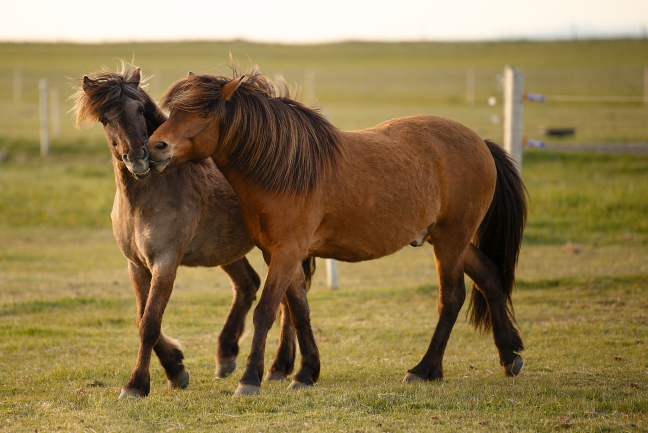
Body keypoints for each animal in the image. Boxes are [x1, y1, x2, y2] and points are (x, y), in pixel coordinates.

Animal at [71, 64, 312, 398]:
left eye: (139, 108)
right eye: (105, 119)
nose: (139, 158)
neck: (147, 195)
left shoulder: (165, 263)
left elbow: (150, 323)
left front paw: (136, 384)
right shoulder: (137, 266)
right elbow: (142, 319)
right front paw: (175, 367)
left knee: (288, 300)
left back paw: (280, 367)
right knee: (252, 286)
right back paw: (228, 355)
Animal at [148, 67, 527, 396]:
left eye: (203, 114)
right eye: (173, 110)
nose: (155, 147)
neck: (285, 169)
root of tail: (479, 142)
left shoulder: (288, 251)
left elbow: (266, 311)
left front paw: (250, 379)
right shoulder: (279, 253)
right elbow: (299, 311)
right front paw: (304, 373)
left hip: (451, 239)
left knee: (451, 298)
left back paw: (424, 369)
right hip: (448, 238)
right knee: (489, 277)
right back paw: (510, 357)